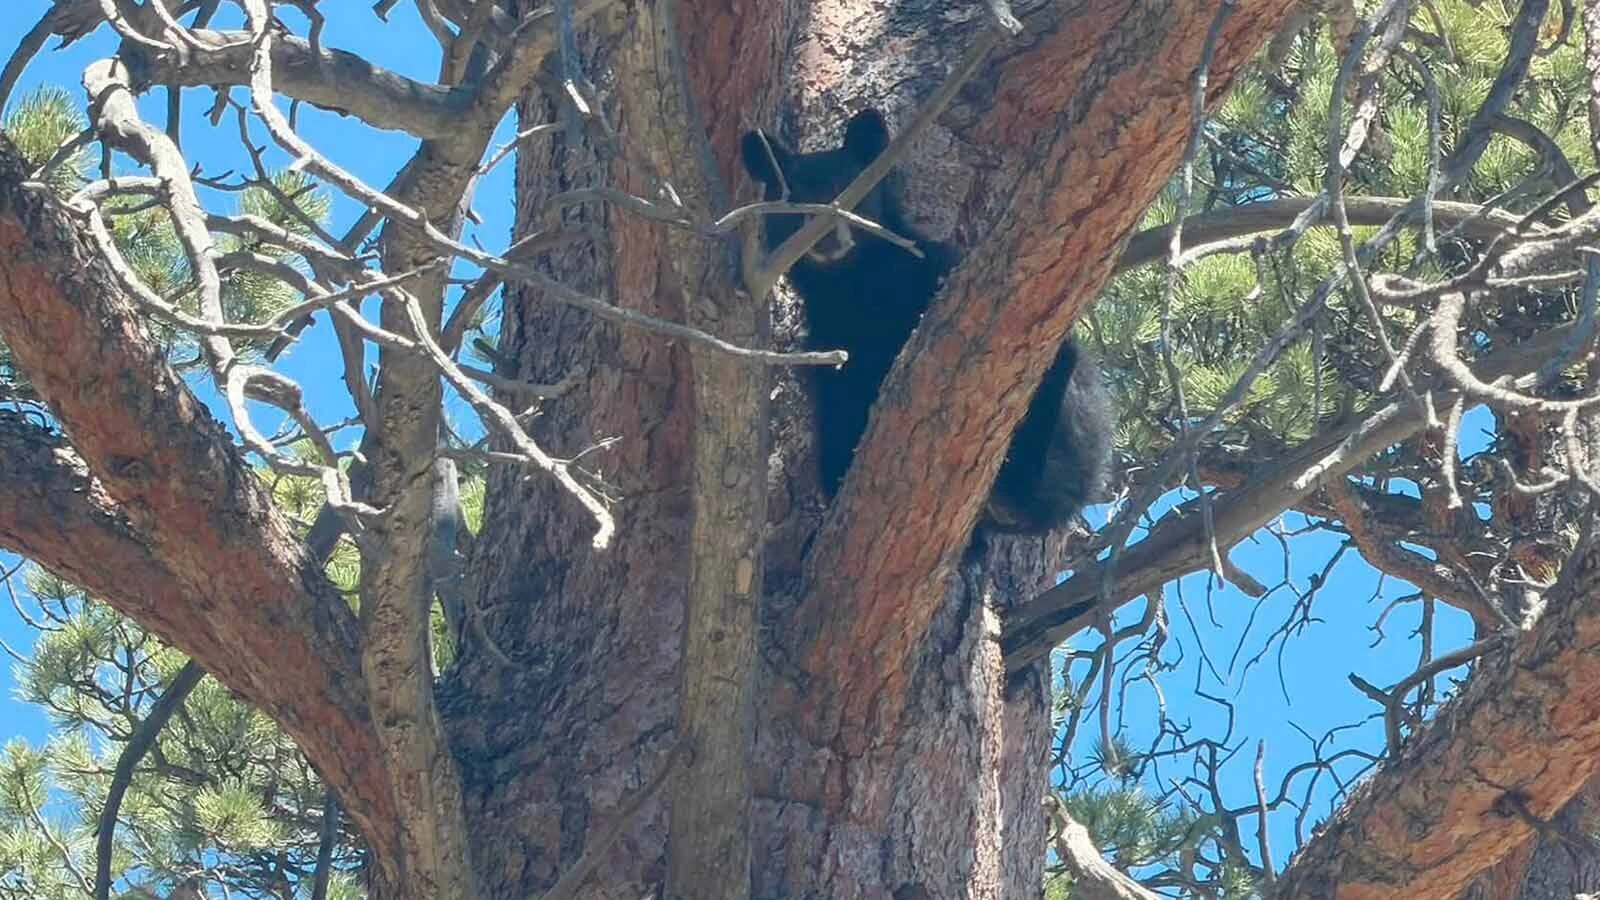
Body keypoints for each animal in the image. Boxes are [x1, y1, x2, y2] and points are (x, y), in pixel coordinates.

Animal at [740, 107, 1114, 536]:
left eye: (848, 190)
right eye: (793, 203)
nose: (824, 237)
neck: (853, 287)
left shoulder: (936, 272)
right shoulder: (830, 341)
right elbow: (839, 404)